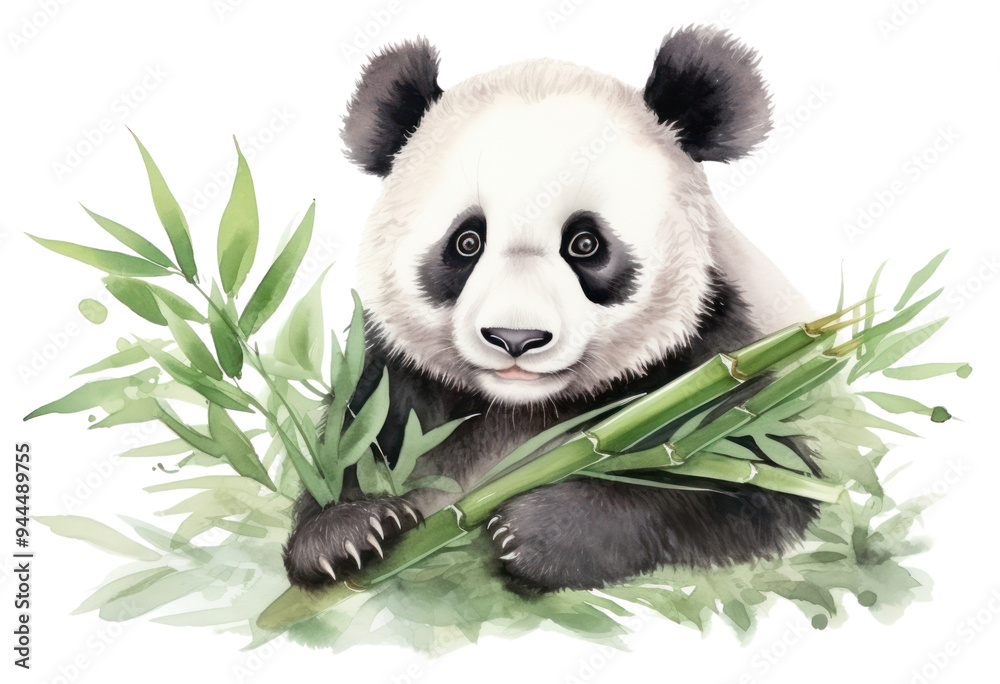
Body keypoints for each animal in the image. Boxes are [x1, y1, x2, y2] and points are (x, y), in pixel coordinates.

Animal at [284, 26, 819, 595]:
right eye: (467, 242)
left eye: (585, 244)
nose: (515, 338)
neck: (522, 407)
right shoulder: (397, 376)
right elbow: (354, 444)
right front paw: (347, 533)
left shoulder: (710, 357)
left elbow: (753, 480)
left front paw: (537, 532)